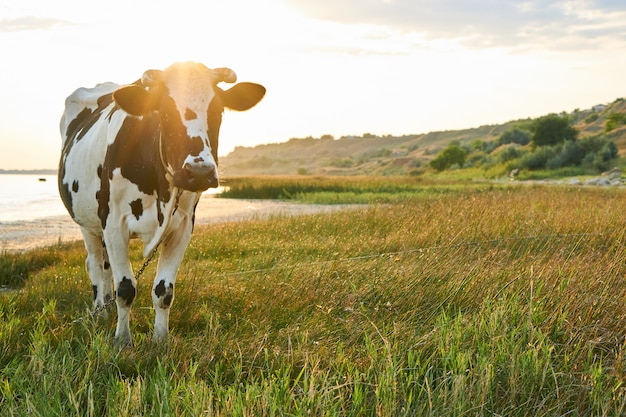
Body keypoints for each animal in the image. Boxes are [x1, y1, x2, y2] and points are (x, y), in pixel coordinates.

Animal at [56, 61, 264, 342]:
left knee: (107, 267)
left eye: (218, 111)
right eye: (164, 113)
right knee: (96, 266)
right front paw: (122, 341)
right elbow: (126, 289)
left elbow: (164, 291)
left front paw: (160, 340)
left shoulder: (183, 226)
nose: (199, 172)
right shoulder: (114, 223)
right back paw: (99, 312)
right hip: (87, 223)